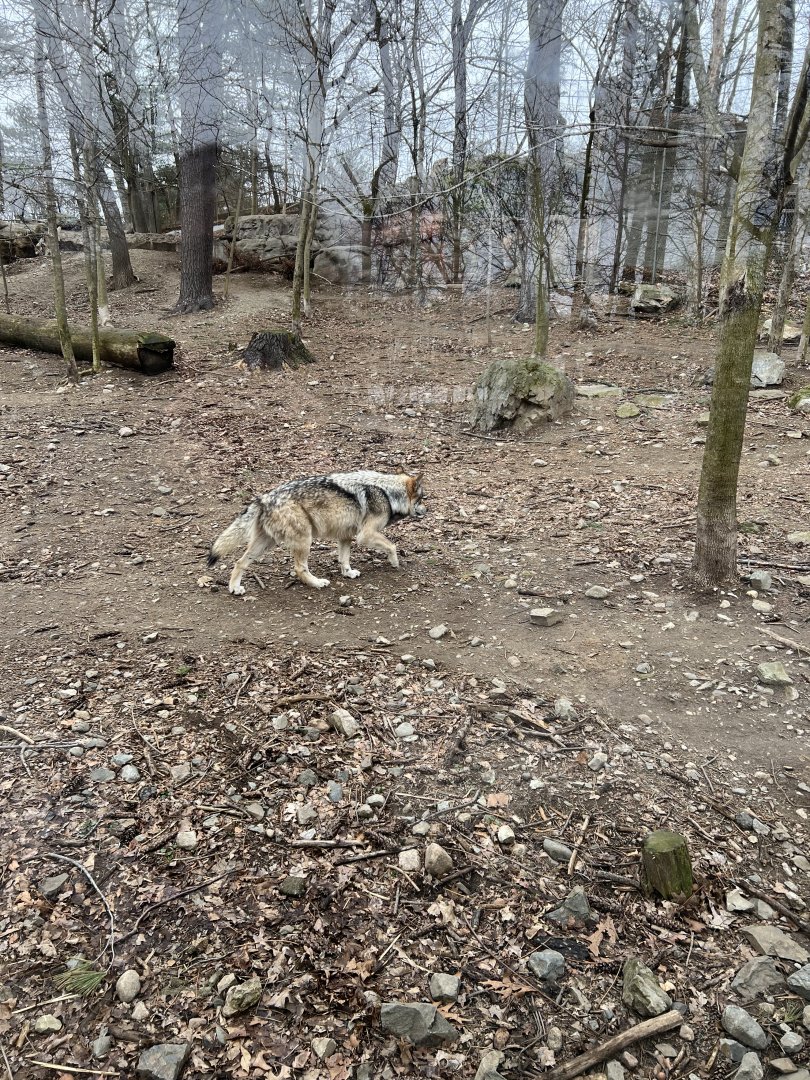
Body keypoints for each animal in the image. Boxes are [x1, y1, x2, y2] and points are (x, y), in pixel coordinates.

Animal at [208, 470, 426, 594]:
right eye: (423, 499)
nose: (428, 510)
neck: (388, 493)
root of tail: (263, 498)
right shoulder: (364, 536)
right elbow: (392, 546)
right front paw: (395, 562)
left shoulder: (345, 536)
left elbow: (344, 560)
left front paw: (348, 573)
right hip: (305, 540)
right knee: (299, 569)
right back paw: (317, 583)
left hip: (265, 544)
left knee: (239, 562)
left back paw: (234, 588)